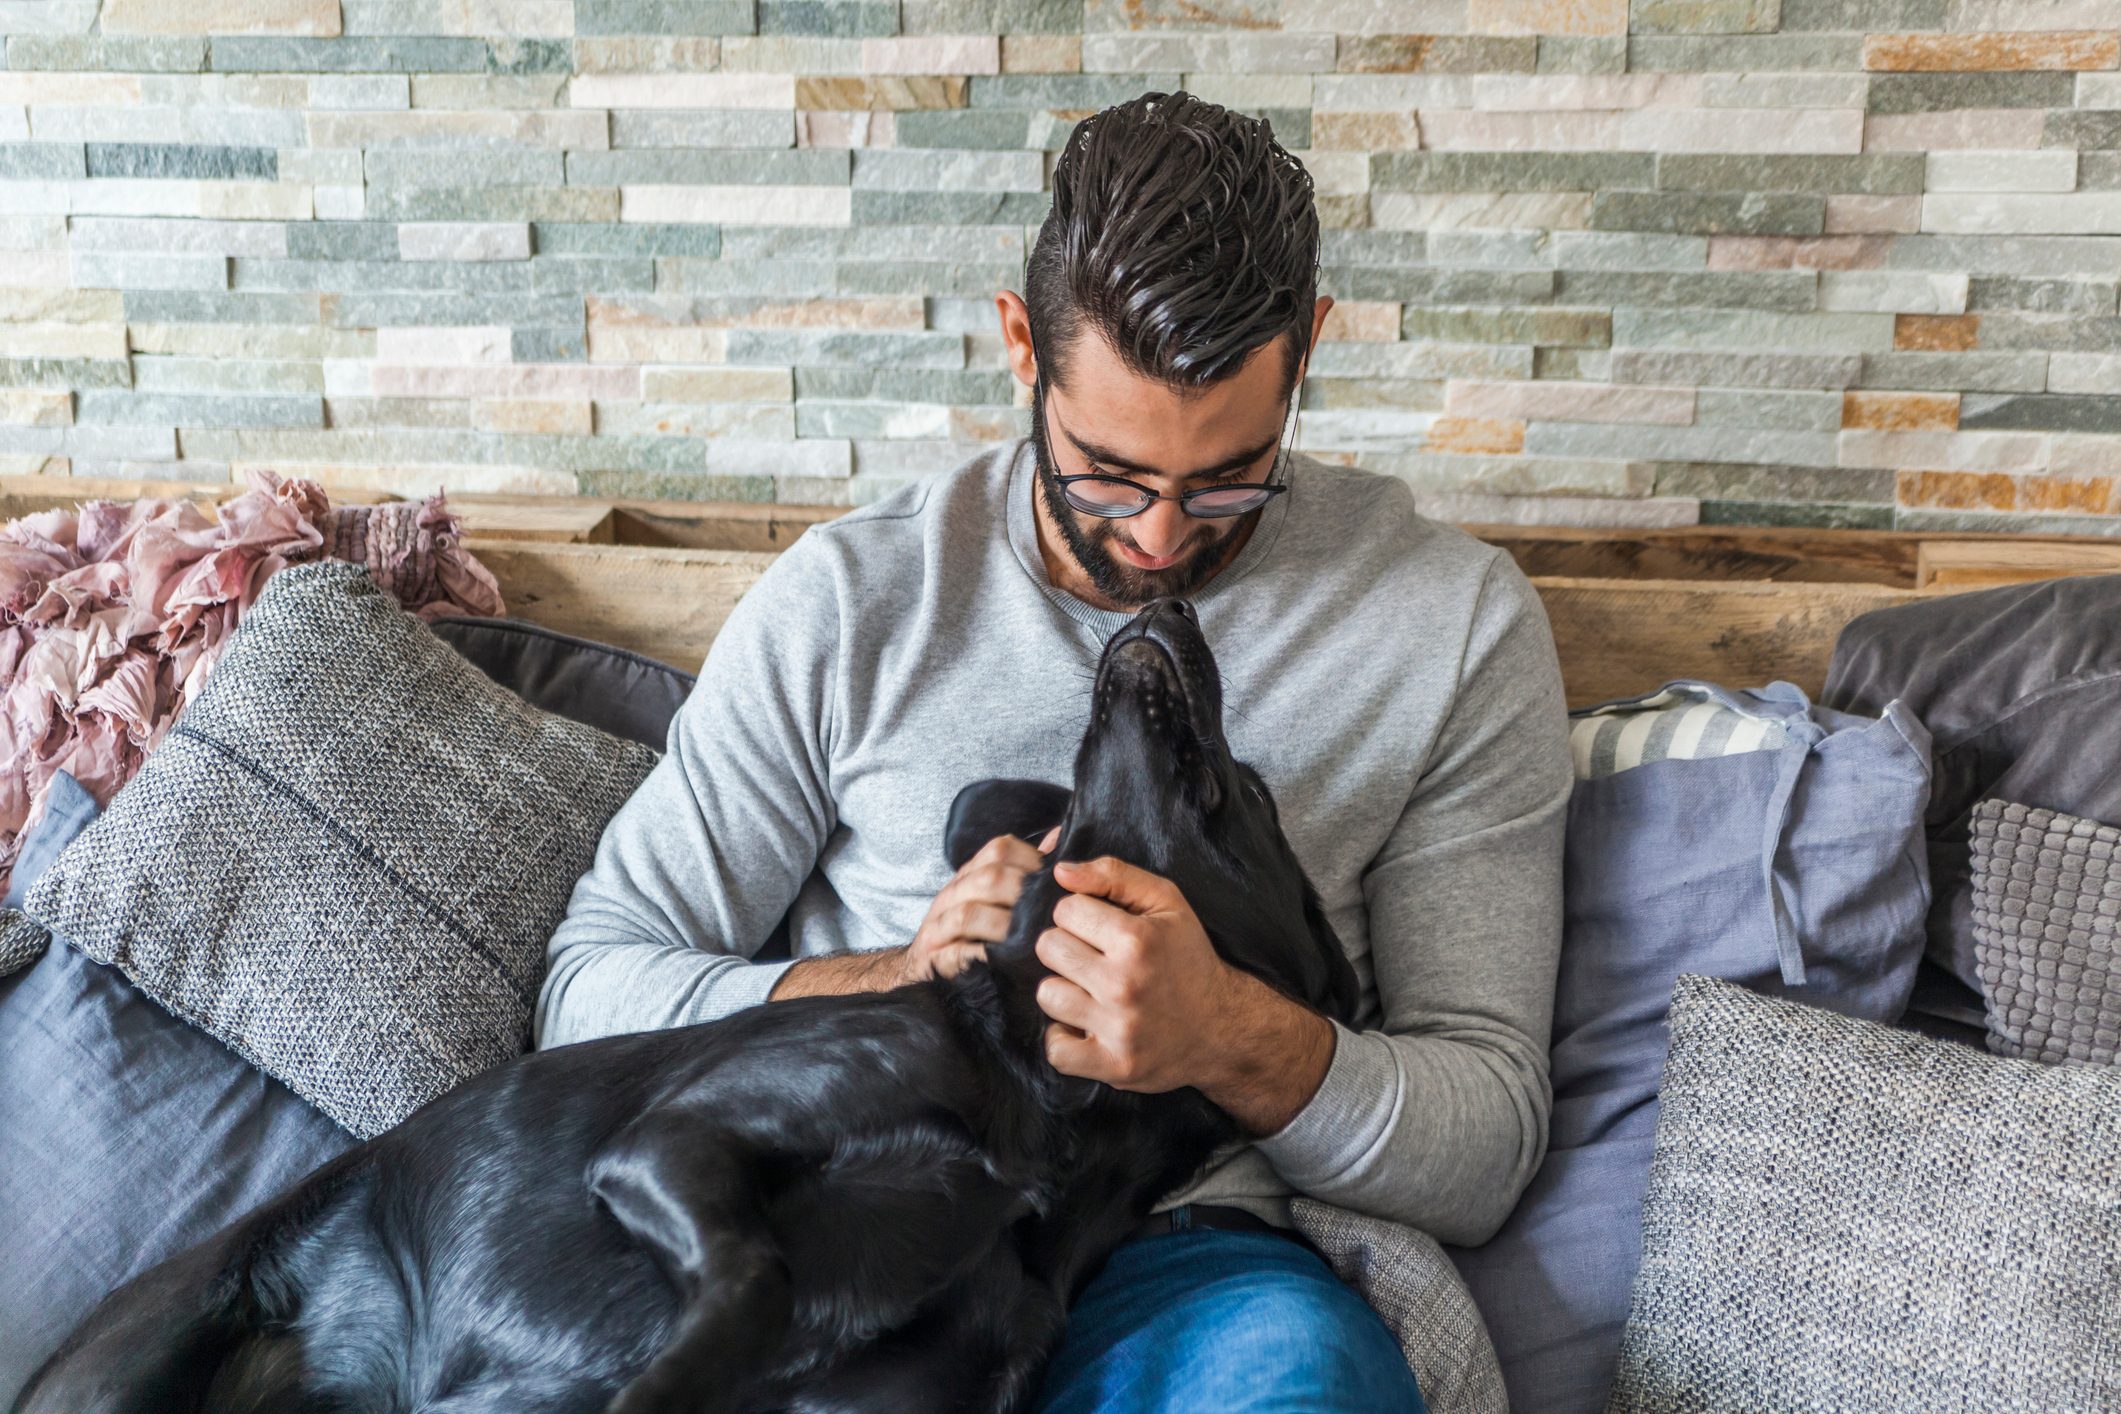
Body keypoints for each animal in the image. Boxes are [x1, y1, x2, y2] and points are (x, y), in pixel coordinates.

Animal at [20, 597, 1357, 1414]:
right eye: (1259, 791)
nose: (1175, 604)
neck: (1049, 1113)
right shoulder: (677, 1140)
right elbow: (755, 1279)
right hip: (134, 1361)